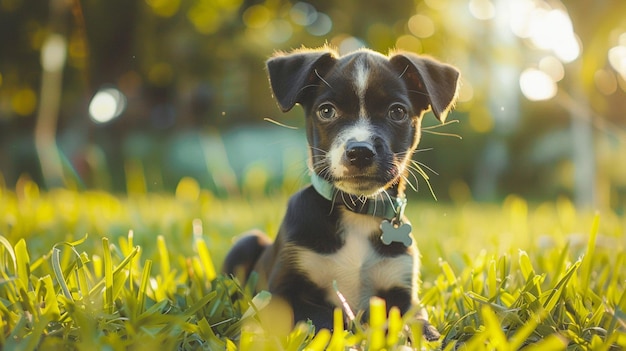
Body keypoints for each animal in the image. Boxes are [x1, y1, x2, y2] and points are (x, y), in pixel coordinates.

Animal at [223, 46, 458, 340]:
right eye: (326, 111)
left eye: (397, 112)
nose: (360, 152)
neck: (356, 209)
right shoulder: (279, 296)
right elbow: (327, 318)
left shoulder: (403, 294)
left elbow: (421, 327)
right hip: (246, 242)